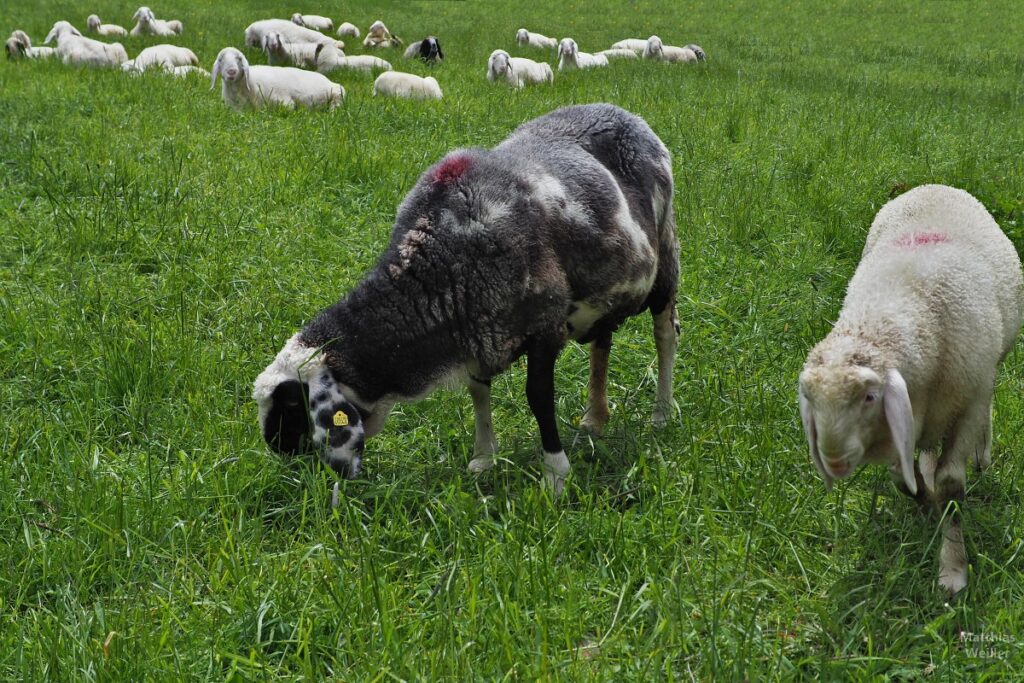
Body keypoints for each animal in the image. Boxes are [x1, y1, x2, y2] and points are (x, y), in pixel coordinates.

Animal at [210, 46, 344, 109]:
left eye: (239, 58)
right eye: (221, 60)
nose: (231, 71)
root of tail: (330, 82)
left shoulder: (283, 101)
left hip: (335, 93)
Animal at [251, 102, 679, 497]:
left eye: (292, 406)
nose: (292, 470)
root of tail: (623, 112)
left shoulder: (544, 325)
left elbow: (539, 398)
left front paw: (555, 476)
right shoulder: (476, 327)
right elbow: (478, 393)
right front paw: (483, 459)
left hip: (666, 256)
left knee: (665, 335)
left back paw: (660, 415)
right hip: (608, 291)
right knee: (602, 343)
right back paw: (594, 419)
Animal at [798, 183, 1024, 593]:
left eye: (869, 397)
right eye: (810, 400)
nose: (834, 462)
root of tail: (934, 184)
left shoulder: (968, 401)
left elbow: (951, 485)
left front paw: (953, 569)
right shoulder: (902, 421)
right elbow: (903, 480)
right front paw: (925, 504)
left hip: (987, 371)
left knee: (985, 410)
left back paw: (981, 455)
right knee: (929, 446)